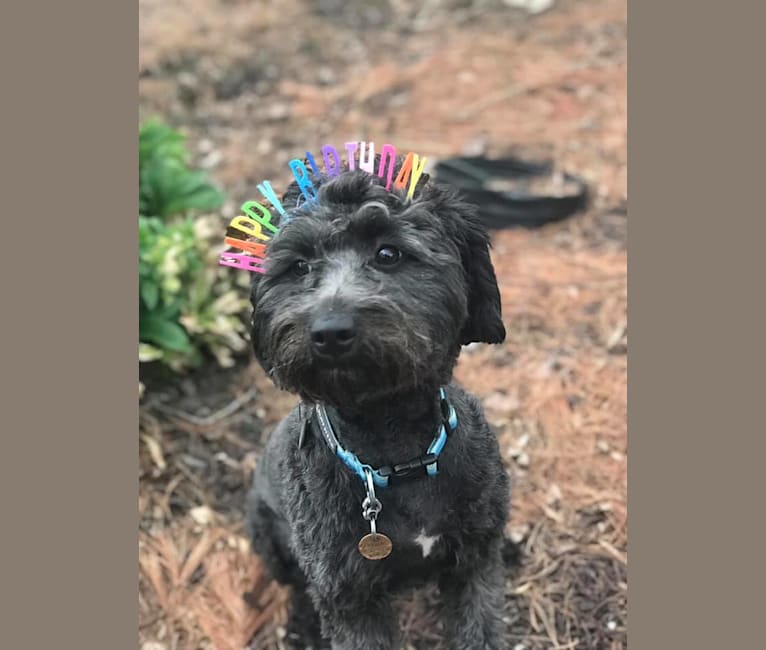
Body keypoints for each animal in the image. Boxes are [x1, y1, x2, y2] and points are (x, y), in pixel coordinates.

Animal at [246, 158, 510, 648]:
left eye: (389, 254)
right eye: (299, 266)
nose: (330, 331)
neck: (396, 455)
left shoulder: (476, 564)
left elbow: (480, 627)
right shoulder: (350, 598)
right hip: (267, 537)